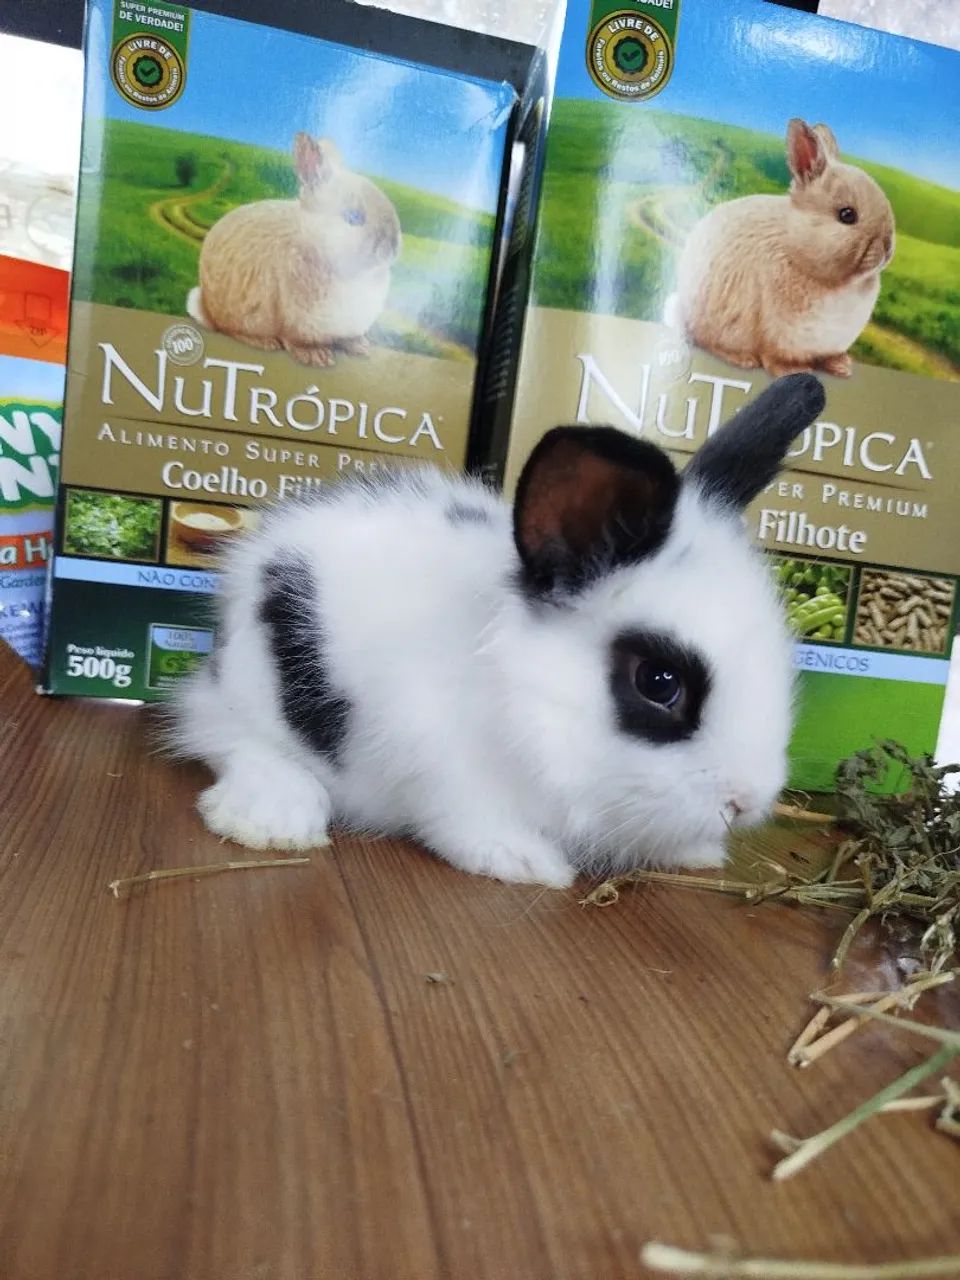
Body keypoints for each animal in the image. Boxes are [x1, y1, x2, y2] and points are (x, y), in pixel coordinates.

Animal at [166, 373, 826, 889]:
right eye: (659, 681)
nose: (746, 802)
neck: (529, 696)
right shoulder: (438, 764)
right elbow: (469, 822)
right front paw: (526, 863)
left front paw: (698, 853)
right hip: (251, 691)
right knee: (220, 735)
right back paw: (273, 820)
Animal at [186, 133, 402, 368]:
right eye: (354, 217)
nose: (393, 246)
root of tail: (205, 306)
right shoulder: (295, 319)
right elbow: (295, 339)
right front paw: (315, 356)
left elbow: (347, 338)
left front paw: (360, 346)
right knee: (229, 329)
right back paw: (265, 343)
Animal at [664, 120, 895, 379]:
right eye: (847, 215)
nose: (888, 246)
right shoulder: (777, 334)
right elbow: (774, 357)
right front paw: (793, 371)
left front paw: (841, 366)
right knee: (704, 339)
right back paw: (742, 359)